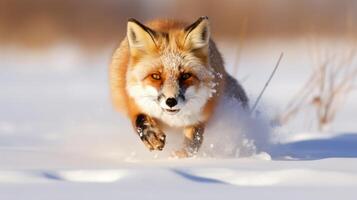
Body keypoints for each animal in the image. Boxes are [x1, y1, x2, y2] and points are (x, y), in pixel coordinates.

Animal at [109, 16, 248, 157]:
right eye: (156, 76)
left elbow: (194, 139)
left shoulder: (200, 116)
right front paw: (151, 135)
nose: (171, 101)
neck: (172, 121)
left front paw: (182, 156)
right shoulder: (134, 103)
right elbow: (141, 119)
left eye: (186, 76)